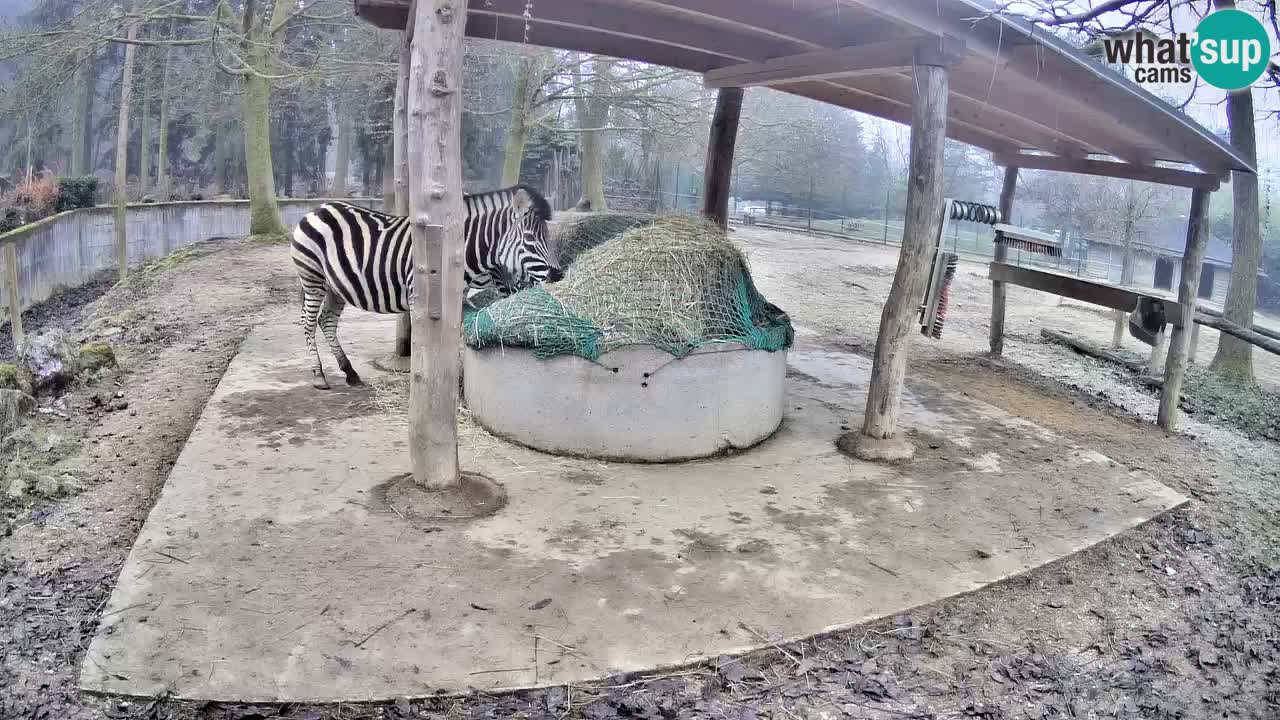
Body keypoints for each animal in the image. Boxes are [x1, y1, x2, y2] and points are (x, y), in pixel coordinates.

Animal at [290, 185, 562, 390]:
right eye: (530, 239)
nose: (558, 276)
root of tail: (317, 209)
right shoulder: (418, 296)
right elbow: (425, 341)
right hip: (313, 278)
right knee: (309, 322)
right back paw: (319, 375)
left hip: (336, 286)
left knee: (326, 321)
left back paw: (350, 372)